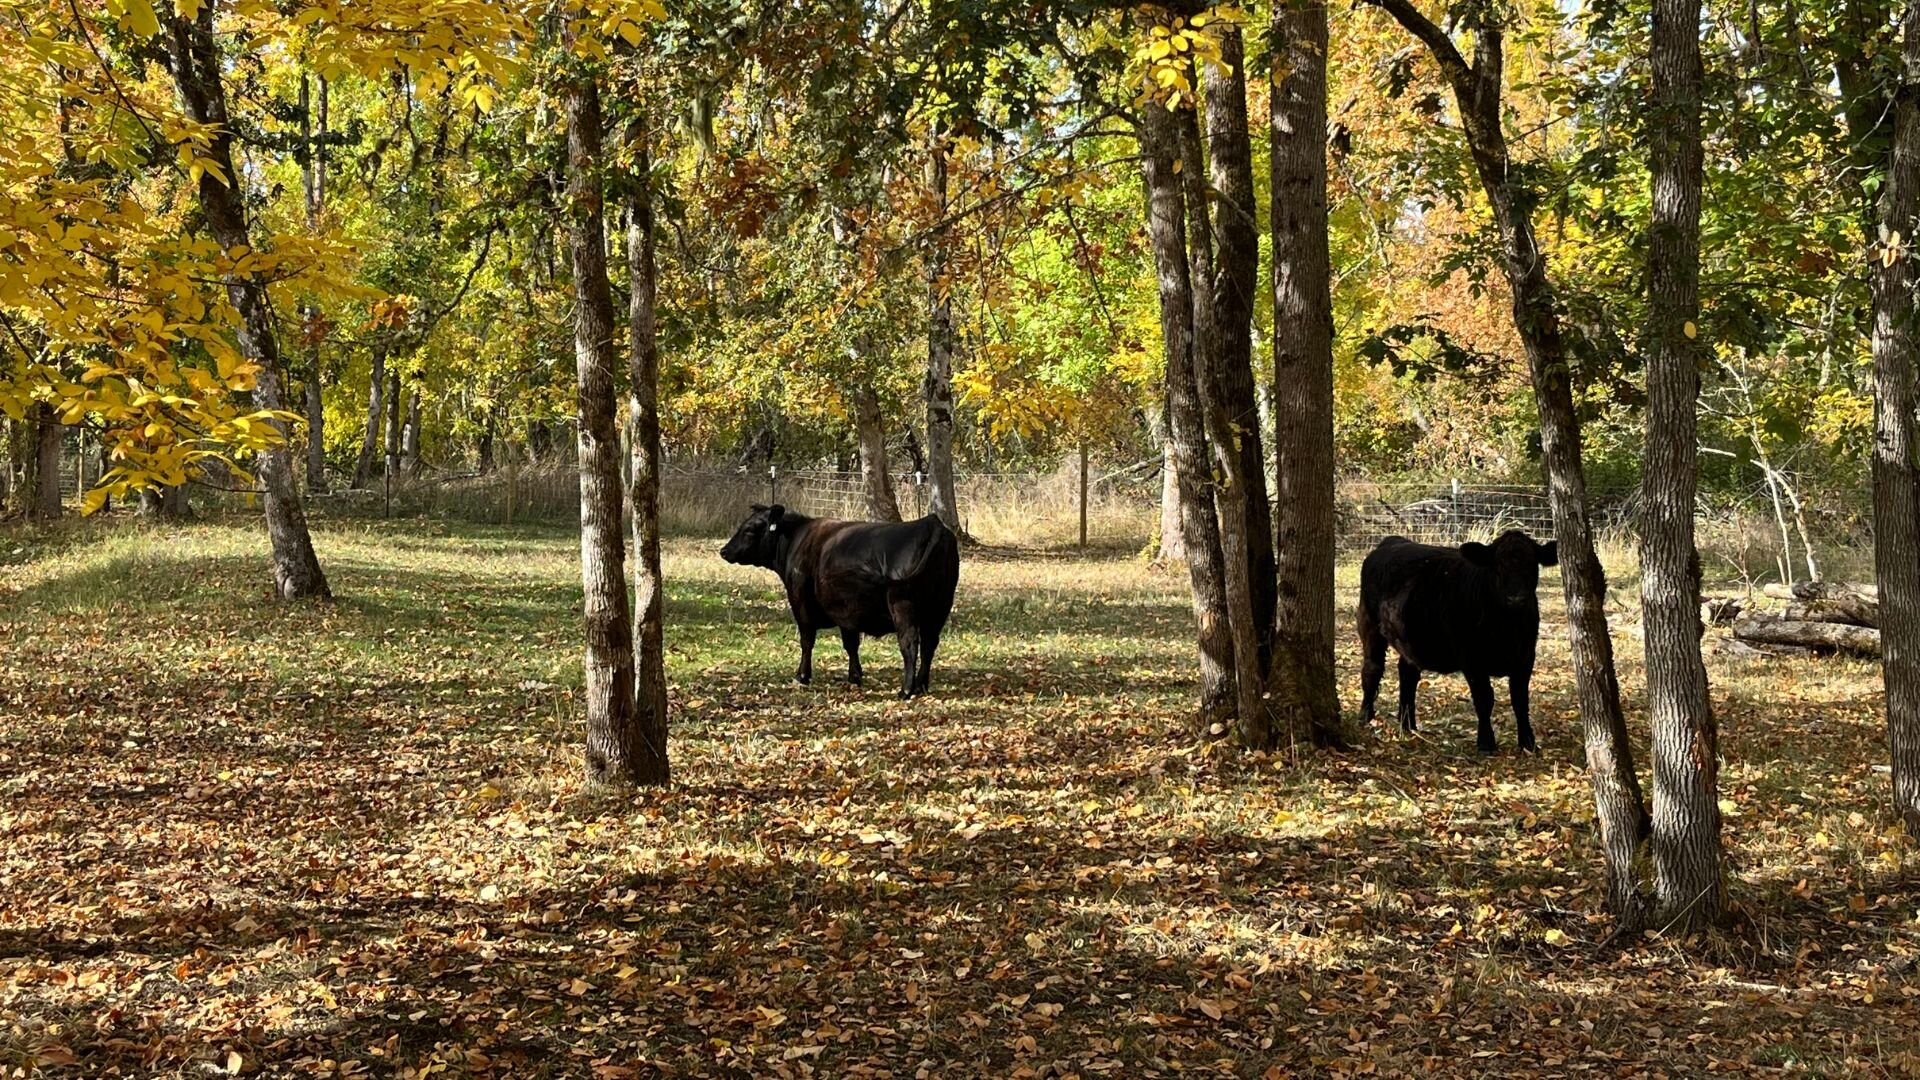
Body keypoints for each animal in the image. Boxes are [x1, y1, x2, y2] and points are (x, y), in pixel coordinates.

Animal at [720, 505, 960, 698]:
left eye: (749, 529)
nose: (724, 551)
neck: (796, 541)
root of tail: (932, 523)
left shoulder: (800, 603)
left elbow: (807, 641)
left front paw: (802, 676)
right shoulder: (846, 612)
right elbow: (850, 644)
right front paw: (854, 676)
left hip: (903, 606)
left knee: (909, 643)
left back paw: (907, 689)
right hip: (939, 607)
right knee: (929, 644)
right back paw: (921, 685)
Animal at [1357, 530, 1559, 755]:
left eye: (1532, 564)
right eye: (1497, 565)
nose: (1516, 599)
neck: (1507, 629)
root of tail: (1393, 541)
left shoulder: (1525, 657)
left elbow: (1520, 700)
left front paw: (1528, 743)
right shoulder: (1471, 658)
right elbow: (1484, 698)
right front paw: (1486, 742)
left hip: (1410, 639)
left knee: (1407, 673)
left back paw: (1408, 724)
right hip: (1369, 624)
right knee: (1372, 669)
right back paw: (1366, 716)